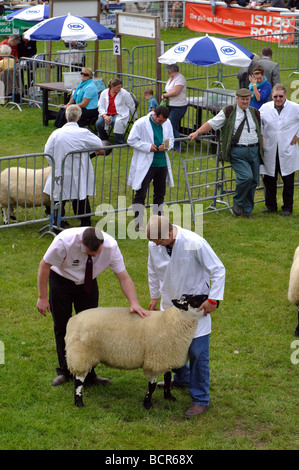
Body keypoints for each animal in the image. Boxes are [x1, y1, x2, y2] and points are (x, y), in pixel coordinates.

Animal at [65, 296, 209, 410]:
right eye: (195, 300)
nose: (210, 299)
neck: (170, 322)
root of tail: (72, 320)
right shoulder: (154, 361)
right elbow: (152, 385)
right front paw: (147, 404)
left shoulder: (166, 357)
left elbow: (167, 379)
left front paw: (169, 397)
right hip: (81, 354)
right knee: (78, 380)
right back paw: (79, 403)